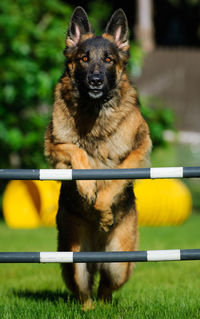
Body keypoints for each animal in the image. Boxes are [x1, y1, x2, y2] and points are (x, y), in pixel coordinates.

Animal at [45, 5, 152, 310]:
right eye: (84, 58)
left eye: (108, 59)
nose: (95, 81)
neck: (95, 113)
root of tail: (96, 251)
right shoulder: (53, 147)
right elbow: (76, 150)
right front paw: (86, 187)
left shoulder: (140, 148)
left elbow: (116, 178)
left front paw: (102, 210)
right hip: (75, 260)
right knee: (85, 292)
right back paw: (88, 309)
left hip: (119, 263)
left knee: (106, 287)